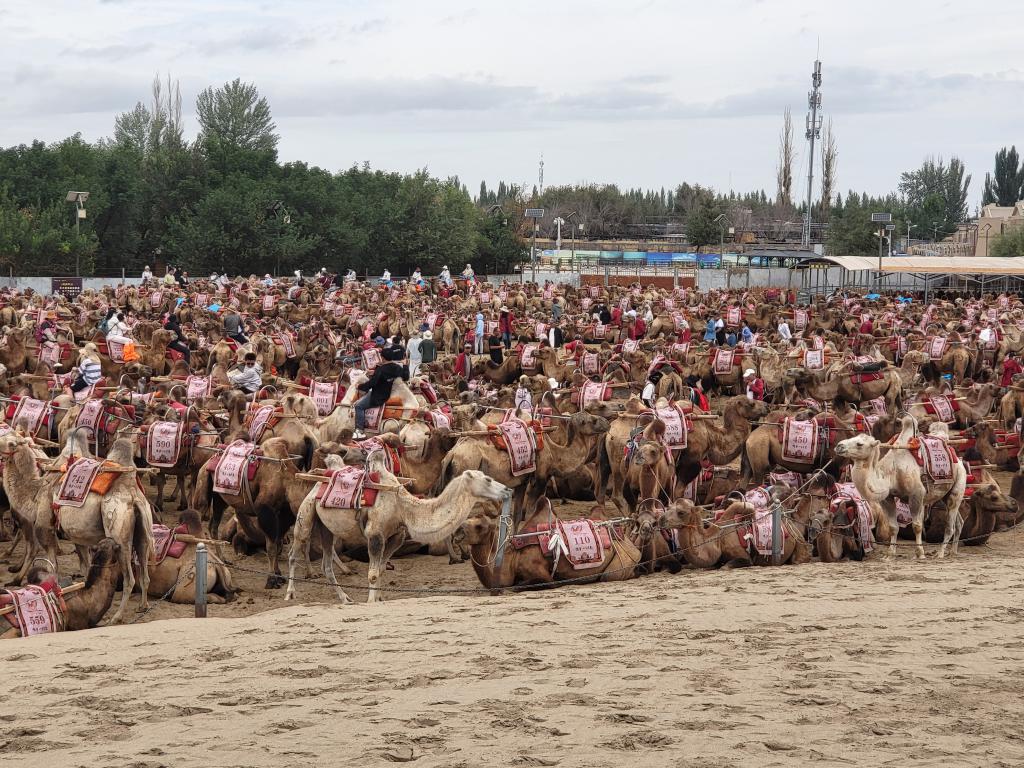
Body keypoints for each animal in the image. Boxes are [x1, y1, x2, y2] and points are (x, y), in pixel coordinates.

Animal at [831, 415, 966, 561]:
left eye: (859, 444)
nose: (839, 446)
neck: (892, 473)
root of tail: (958, 459)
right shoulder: (888, 498)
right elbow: (893, 527)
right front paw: (889, 554)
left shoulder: (916, 494)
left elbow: (917, 526)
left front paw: (920, 553)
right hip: (945, 496)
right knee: (959, 522)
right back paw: (952, 552)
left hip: (958, 485)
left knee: (950, 525)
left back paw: (940, 553)